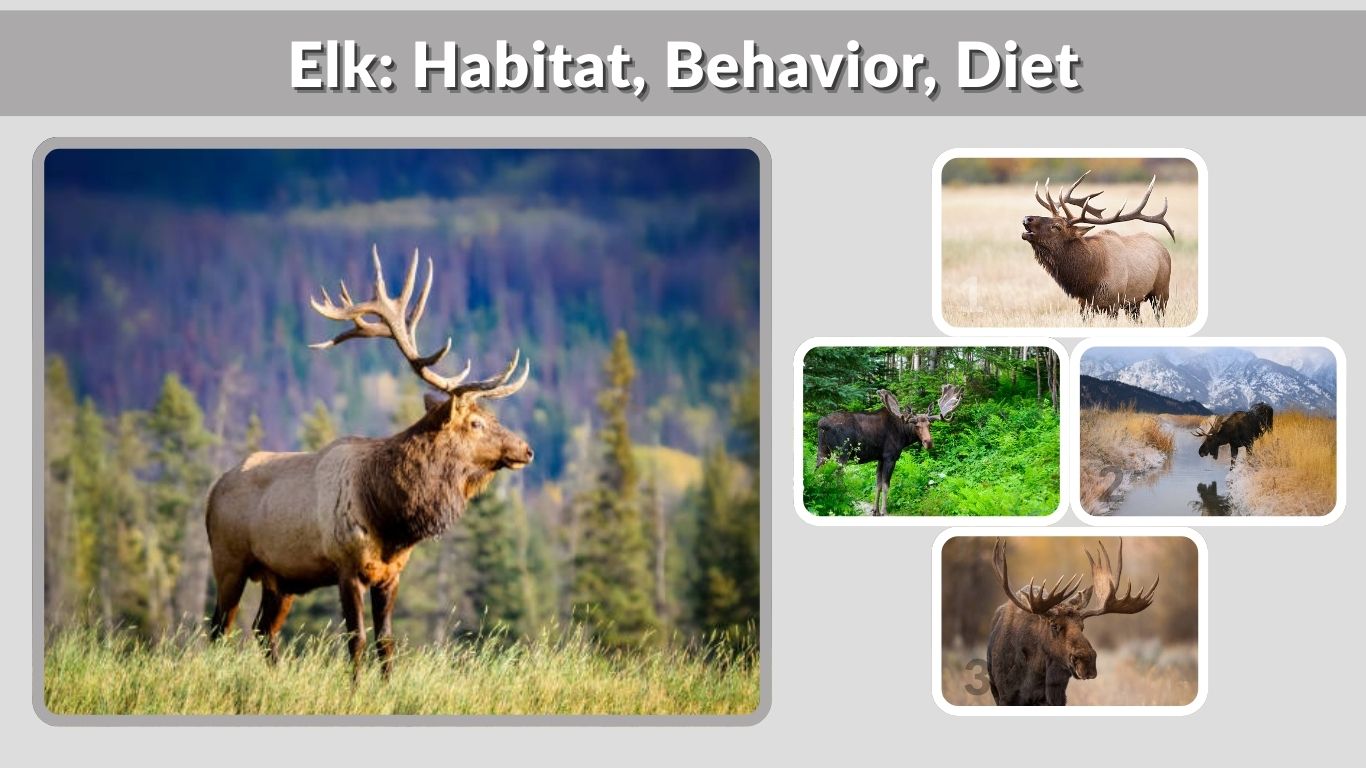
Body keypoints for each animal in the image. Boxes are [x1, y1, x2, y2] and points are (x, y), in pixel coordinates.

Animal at [205, 248, 533, 679]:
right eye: (476, 422)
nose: (526, 449)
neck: (388, 515)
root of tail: (211, 493)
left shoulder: (390, 574)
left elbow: (386, 641)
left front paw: (387, 684)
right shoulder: (346, 566)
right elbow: (356, 639)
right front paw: (356, 687)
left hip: (281, 578)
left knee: (263, 629)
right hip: (228, 560)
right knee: (217, 629)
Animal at [814, 384, 962, 516]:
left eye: (929, 425)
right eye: (916, 426)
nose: (929, 443)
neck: (903, 435)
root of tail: (822, 424)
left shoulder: (880, 457)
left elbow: (878, 484)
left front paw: (875, 511)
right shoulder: (890, 457)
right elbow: (886, 485)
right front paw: (884, 511)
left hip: (822, 451)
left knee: (817, 471)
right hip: (842, 452)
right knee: (837, 475)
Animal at [987, 538, 1158, 706]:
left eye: (1082, 627)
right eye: (1054, 626)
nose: (1087, 661)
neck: (1032, 675)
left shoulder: (1056, 698)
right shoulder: (1005, 696)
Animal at [1021, 171, 1174, 322]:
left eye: (1057, 226)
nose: (1027, 218)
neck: (1089, 281)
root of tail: (1164, 249)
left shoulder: (1113, 303)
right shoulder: (1084, 304)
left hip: (1161, 291)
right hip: (1133, 302)